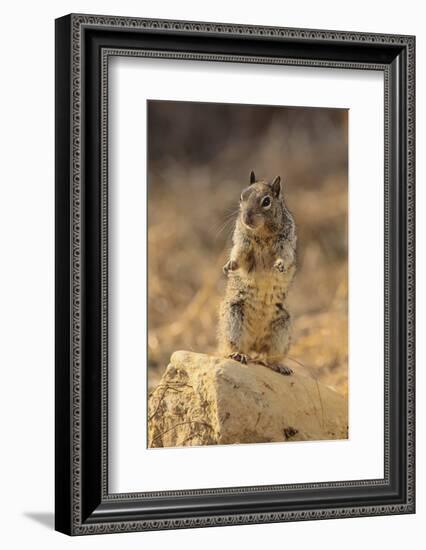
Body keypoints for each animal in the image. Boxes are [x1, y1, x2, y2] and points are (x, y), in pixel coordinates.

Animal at [218, 171, 298, 376]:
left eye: (266, 201)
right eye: (241, 197)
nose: (246, 218)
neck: (262, 233)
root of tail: (254, 343)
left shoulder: (286, 244)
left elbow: (285, 257)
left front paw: (280, 265)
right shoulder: (242, 243)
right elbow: (239, 256)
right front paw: (229, 265)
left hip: (282, 329)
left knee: (267, 357)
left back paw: (280, 366)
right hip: (233, 320)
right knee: (233, 347)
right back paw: (239, 355)